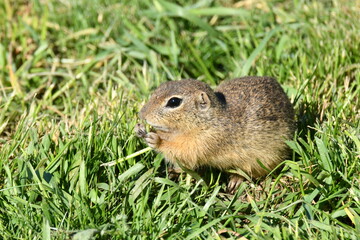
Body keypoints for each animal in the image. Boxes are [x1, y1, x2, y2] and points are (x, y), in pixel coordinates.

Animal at [135, 77, 296, 193]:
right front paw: (140, 130)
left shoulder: (204, 142)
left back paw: (235, 180)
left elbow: (183, 153)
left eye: (174, 101)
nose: (142, 114)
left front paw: (155, 140)